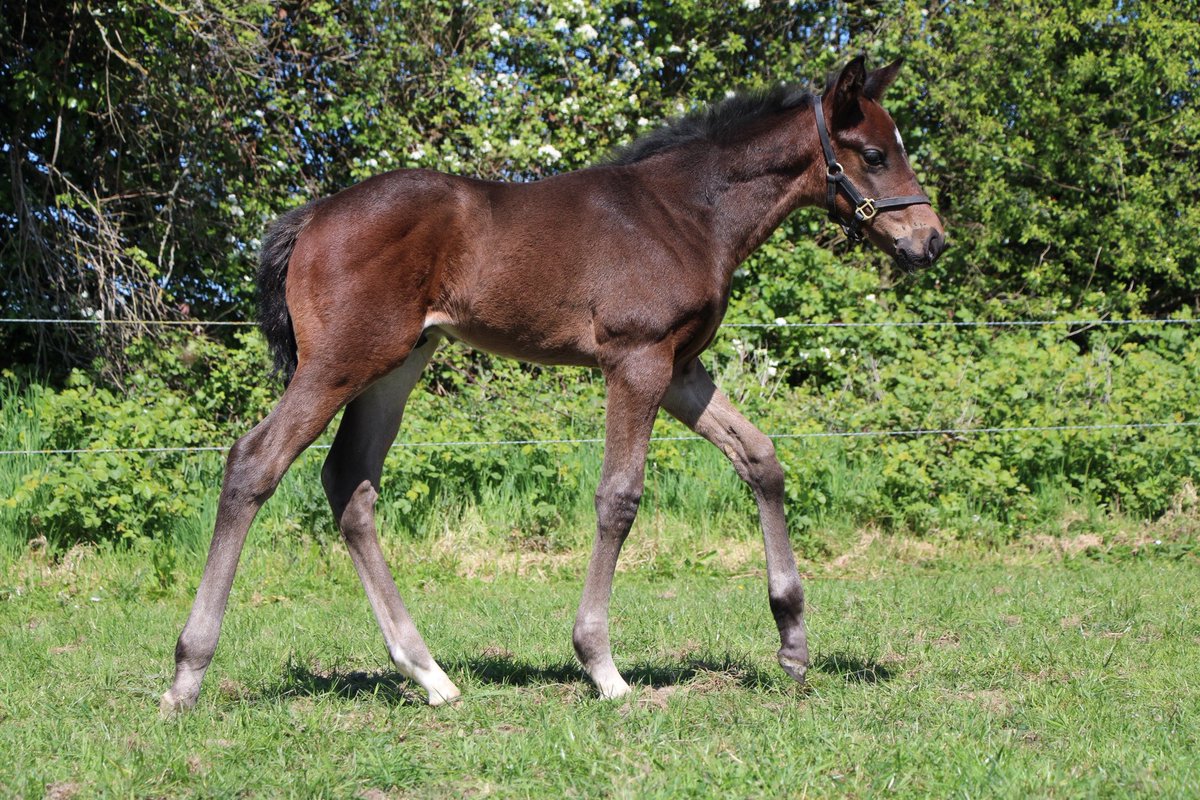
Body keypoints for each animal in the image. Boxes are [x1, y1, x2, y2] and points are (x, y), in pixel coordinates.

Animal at [161, 56, 945, 711]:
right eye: (874, 154)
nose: (931, 241)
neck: (685, 211)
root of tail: (312, 216)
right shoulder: (637, 359)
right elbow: (618, 498)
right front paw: (602, 666)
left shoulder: (680, 367)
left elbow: (761, 458)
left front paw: (792, 643)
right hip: (341, 362)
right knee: (255, 462)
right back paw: (187, 675)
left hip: (398, 365)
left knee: (349, 483)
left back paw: (430, 674)